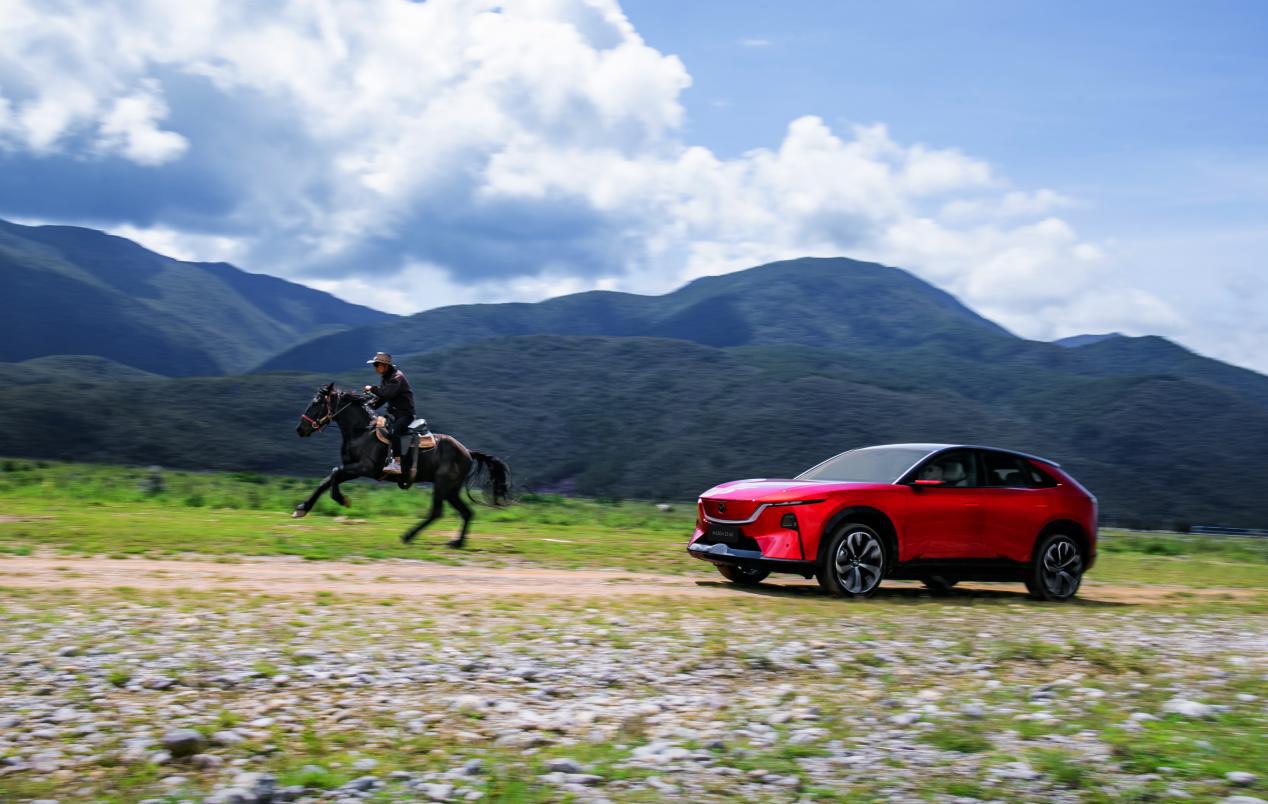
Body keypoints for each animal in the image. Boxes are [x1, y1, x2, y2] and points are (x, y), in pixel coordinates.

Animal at [293, 383, 510, 548]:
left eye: (317, 402)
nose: (300, 429)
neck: (361, 431)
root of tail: (468, 452)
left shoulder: (365, 468)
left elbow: (334, 473)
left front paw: (341, 499)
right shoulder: (352, 468)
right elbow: (327, 480)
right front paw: (302, 508)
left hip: (443, 485)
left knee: (437, 512)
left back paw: (409, 536)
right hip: (450, 490)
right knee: (466, 512)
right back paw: (456, 542)